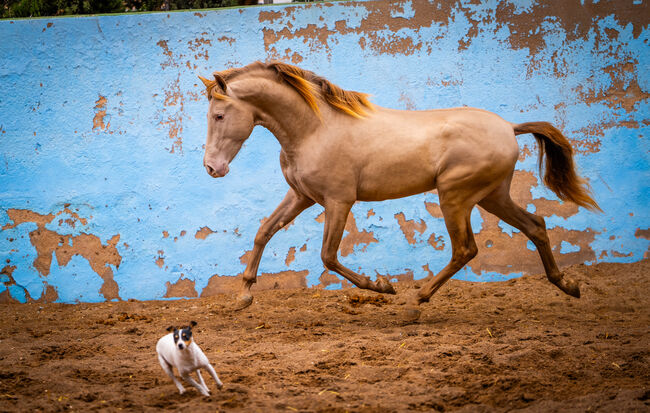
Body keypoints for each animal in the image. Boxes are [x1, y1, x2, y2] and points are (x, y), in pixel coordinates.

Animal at [196, 60, 596, 318]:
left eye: (219, 115)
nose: (212, 168)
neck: (314, 129)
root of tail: (509, 127)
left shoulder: (338, 200)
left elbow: (328, 256)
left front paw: (382, 287)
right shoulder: (302, 196)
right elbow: (264, 231)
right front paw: (243, 296)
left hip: (455, 197)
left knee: (465, 249)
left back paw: (414, 302)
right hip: (493, 196)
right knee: (535, 226)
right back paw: (568, 285)